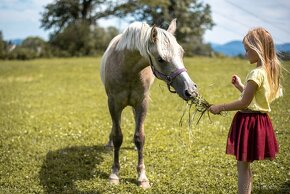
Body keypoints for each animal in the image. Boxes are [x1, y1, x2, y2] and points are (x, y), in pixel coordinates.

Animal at [99, 19, 197, 188]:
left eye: (182, 53)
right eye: (160, 59)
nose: (190, 91)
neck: (127, 70)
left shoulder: (142, 103)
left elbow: (140, 137)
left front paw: (142, 177)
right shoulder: (114, 104)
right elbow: (118, 136)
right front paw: (114, 174)